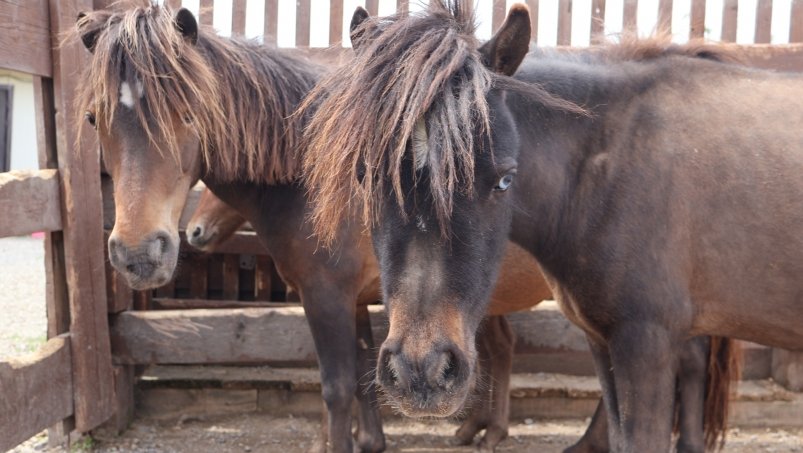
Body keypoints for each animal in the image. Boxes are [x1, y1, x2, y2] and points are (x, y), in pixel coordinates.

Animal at [188, 186, 740, 452]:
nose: (192, 231)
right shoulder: (359, 303)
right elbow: (364, 371)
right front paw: (366, 441)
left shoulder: (331, 298)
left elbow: (339, 380)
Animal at [301, 1, 799, 451]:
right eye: (365, 177)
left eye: (503, 179)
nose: (421, 371)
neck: (609, 164)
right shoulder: (604, 341)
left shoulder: (646, 342)